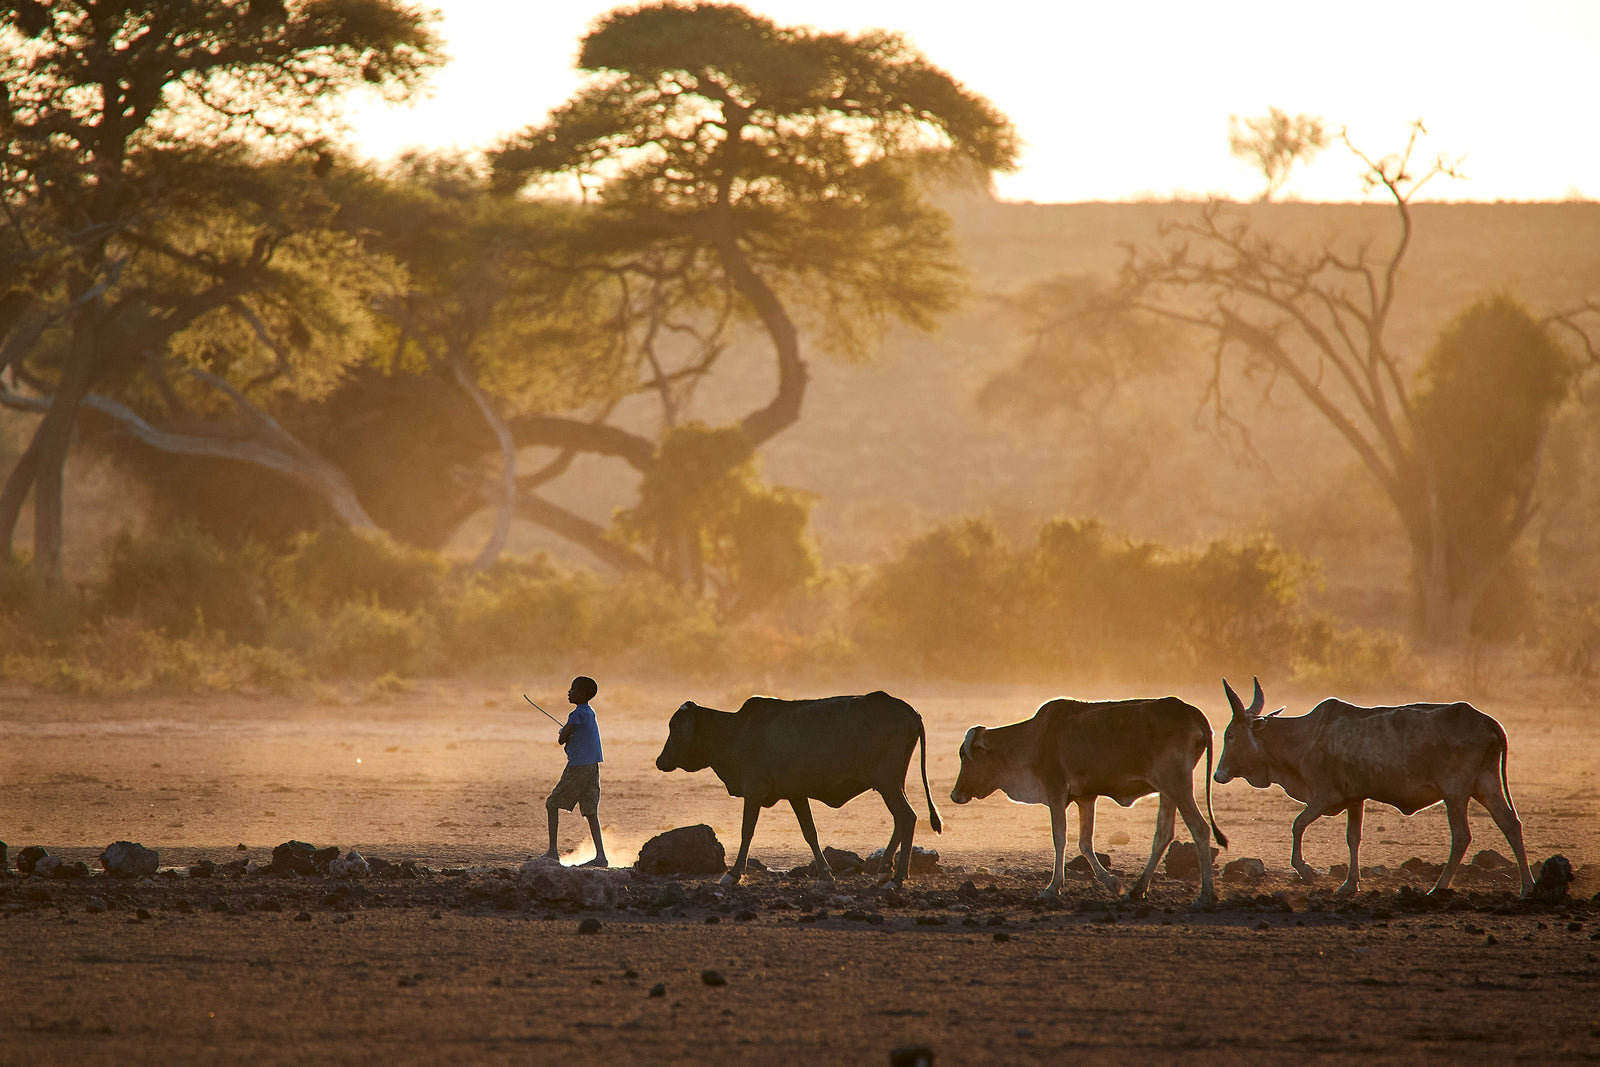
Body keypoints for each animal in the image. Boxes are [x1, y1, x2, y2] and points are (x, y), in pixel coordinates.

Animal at [655, 691, 942, 888]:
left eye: (674, 727)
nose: (660, 761)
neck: (736, 732)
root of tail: (904, 707)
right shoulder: (796, 793)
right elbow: (809, 832)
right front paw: (825, 874)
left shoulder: (754, 790)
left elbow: (747, 831)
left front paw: (734, 873)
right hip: (893, 783)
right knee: (899, 820)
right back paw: (885, 870)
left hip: (887, 783)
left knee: (907, 817)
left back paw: (898, 877)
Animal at [949, 696, 1228, 905]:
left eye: (965, 756)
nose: (955, 794)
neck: (1034, 738)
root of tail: (1188, 710)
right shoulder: (1086, 797)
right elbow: (1084, 843)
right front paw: (1112, 883)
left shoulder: (1055, 791)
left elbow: (1060, 838)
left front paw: (1052, 888)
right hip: (1167, 791)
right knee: (1163, 834)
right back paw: (1137, 890)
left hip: (1177, 784)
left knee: (1200, 828)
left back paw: (1205, 895)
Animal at [1213, 677, 1535, 897]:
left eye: (1230, 735)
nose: (1217, 774)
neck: (1304, 737)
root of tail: (1484, 719)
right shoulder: (1356, 798)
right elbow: (1353, 838)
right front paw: (1349, 884)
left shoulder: (1324, 796)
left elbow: (1297, 825)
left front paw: (1306, 870)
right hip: (1485, 784)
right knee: (1510, 823)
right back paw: (1527, 887)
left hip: (1455, 793)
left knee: (1462, 836)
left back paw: (1438, 887)